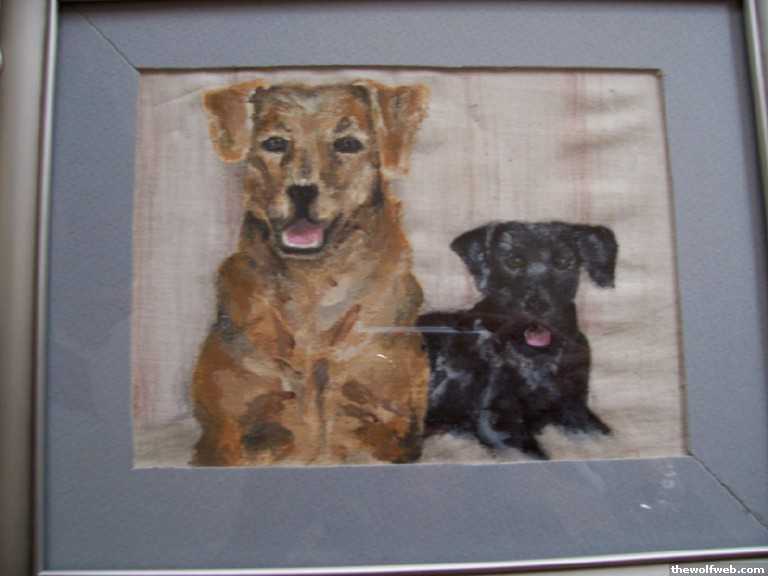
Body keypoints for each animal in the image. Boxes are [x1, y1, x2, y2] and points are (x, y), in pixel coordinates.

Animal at [192, 79, 430, 466]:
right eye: (275, 143)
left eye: (348, 144)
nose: (302, 190)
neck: (312, 288)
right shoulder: (224, 435)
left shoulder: (390, 426)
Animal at [418, 221, 617, 459]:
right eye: (514, 261)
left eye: (563, 262)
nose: (537, 306)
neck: (537, 356)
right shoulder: (496, 419)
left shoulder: (575, 409)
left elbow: (599, 434)